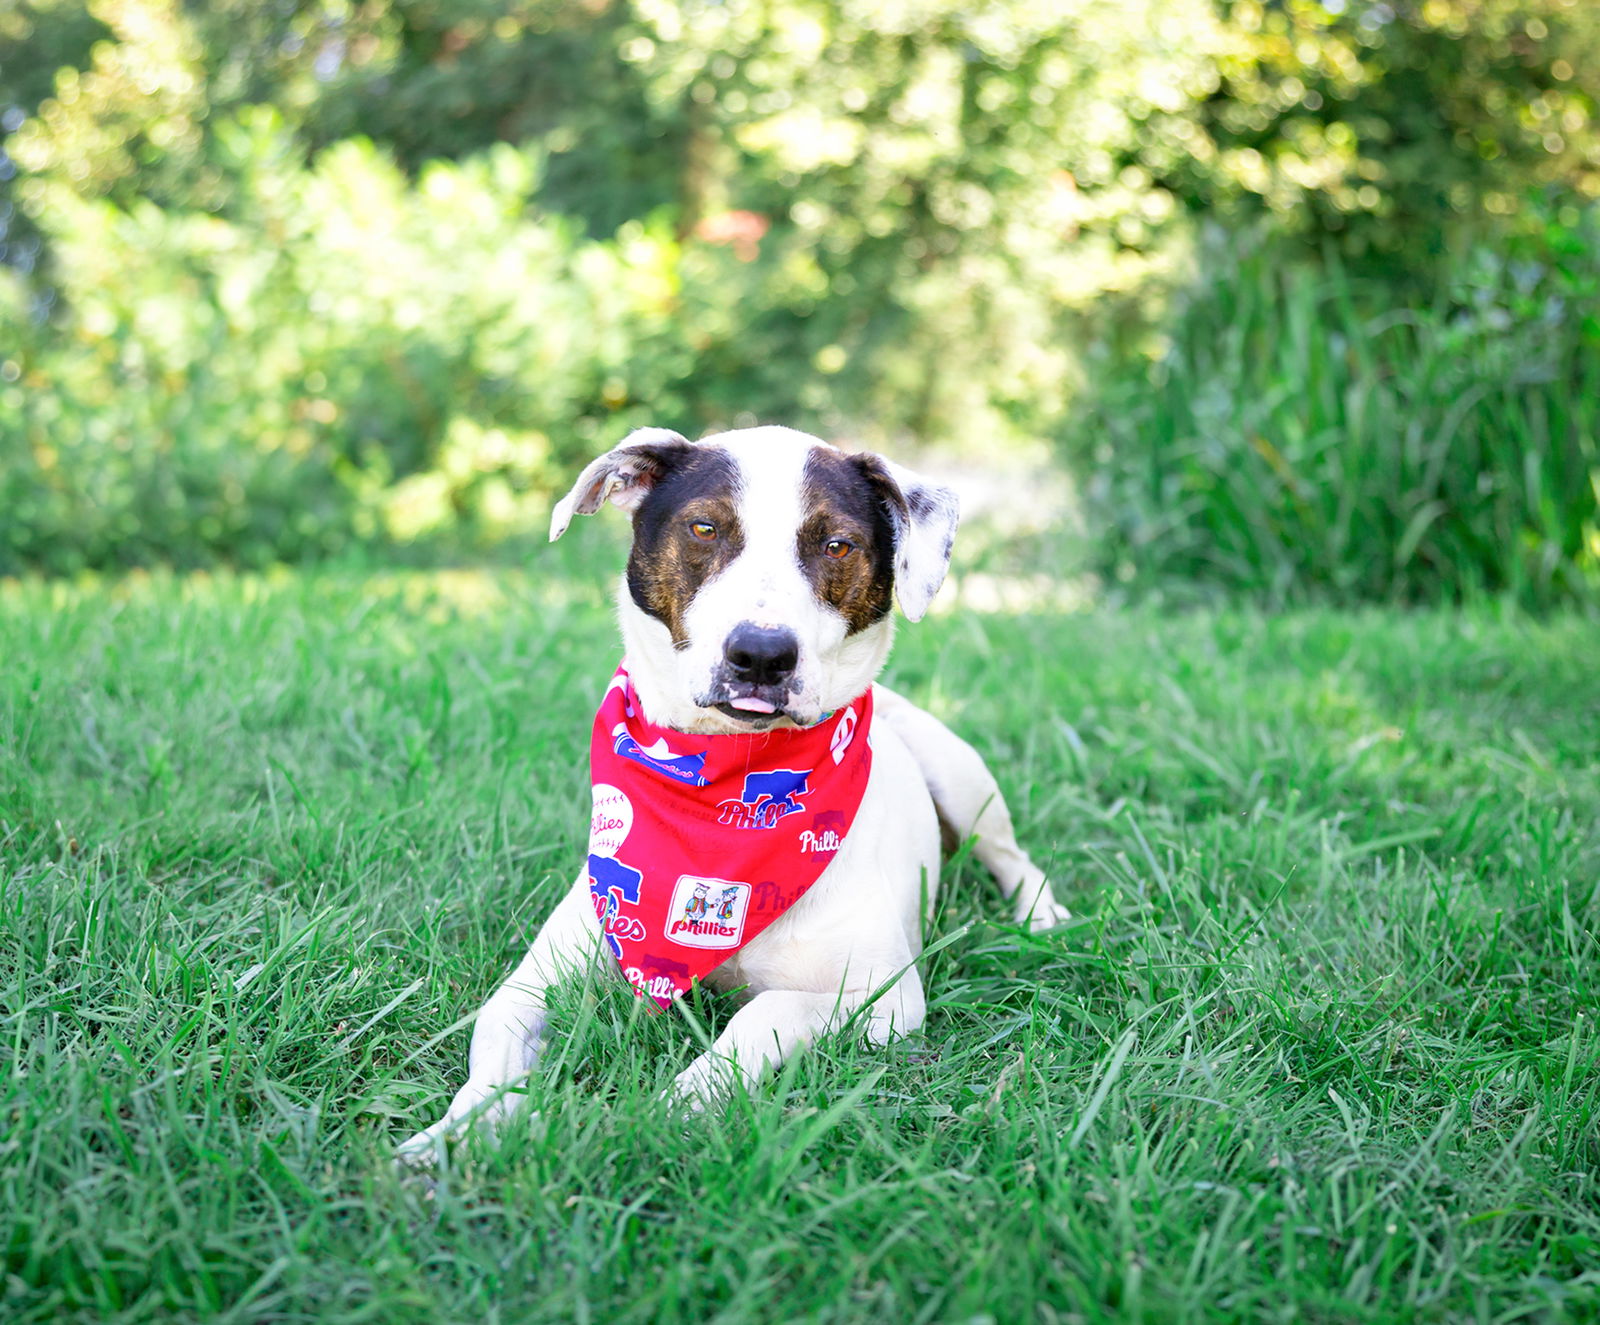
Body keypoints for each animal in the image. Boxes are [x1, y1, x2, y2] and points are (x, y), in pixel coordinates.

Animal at [398, 425, 1068, 1158]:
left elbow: (763, 1014)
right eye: (704, 527)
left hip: (959, 772)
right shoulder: (537, 979)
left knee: (1011, 855)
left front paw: (667, 1110)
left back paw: (1041, 917)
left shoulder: (883, 999)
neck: (721, 793)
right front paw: (449, 1140)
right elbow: (496, 1040)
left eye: (837, 544)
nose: (762, 655)